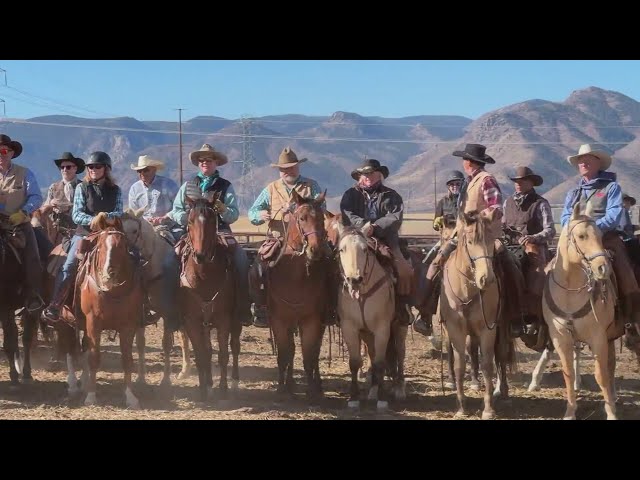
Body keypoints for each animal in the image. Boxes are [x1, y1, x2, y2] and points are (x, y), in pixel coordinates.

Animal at [120, 210, 190, 386]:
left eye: (135, 231)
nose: (128, 254)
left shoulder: (167, 312)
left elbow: (166, 344)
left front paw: (165, 380)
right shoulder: (139, 312)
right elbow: (140, 344)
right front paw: (140, 378)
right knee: (184, 335)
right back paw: (185, 371)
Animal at [178, 191, 240, 402]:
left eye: (213, 220)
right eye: (189, 221)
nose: (200, 255)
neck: (204, 277)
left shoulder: (224, 319)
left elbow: (223, 354)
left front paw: (223, 389)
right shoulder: (191, 321)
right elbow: (201, 355)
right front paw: (204, 390)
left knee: (234, 347)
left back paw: (234, 382)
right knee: (207, 350)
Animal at [440, 211, 516, 420]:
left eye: (491, 241)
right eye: (470, 241)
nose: (486, 279)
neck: (467, 289)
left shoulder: (487, 329)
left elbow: (487, 365)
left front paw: (488, 409)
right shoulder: (455, 330)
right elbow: (459, 364)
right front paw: (461, 407)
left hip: (501, 327)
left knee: (501, 355)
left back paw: (503, 391)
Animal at [540, 203, 620, 420]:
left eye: (600, 235)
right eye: (582, 236)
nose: (603, 268)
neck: (569, 292)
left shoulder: (598, 338)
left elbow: (601, 375)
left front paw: (611, 412)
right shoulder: (561, 338)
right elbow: (568, 374)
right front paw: (570, 411)